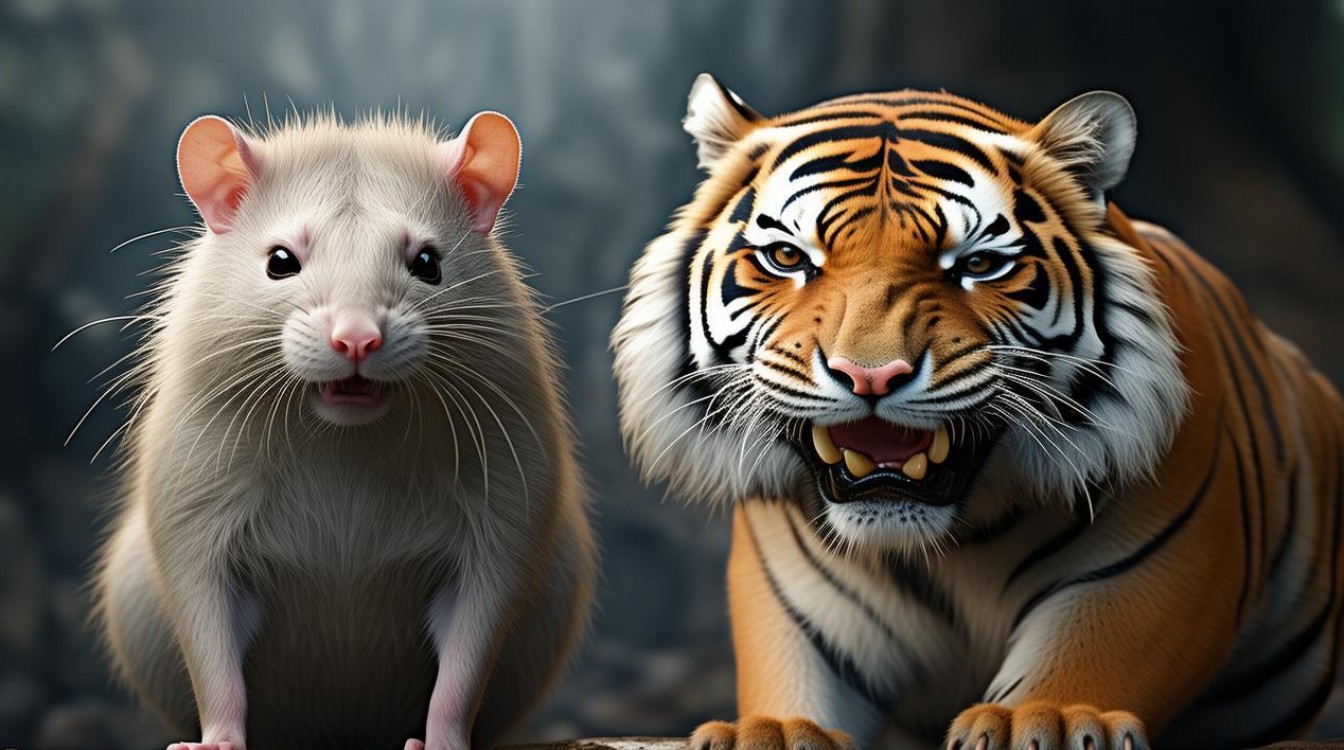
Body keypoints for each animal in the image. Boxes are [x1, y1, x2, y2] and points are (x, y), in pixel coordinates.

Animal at [611, 74, 1344, 750]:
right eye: (788, 257)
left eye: (980, 264)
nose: (870, 374)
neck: (950, 548)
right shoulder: (801, 606)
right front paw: (775, 732)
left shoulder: (1151, 567)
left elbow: (1093, 652)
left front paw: (1048, 721)